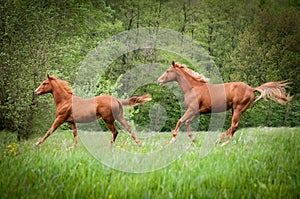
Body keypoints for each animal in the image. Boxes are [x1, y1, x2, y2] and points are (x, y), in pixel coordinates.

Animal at [158, 60, 292, 145]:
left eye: (167, 71)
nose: (159, 81)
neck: (193, 88)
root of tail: (251, 89)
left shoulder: (192, 110)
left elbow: (180, 120)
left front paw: (172, 140)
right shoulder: (196, 112)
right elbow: (186, 122)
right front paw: (193, 139)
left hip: (238, 109)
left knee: (234, 126)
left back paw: (222, 142)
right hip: (235, 110)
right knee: (234, 127)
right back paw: (220, 140)